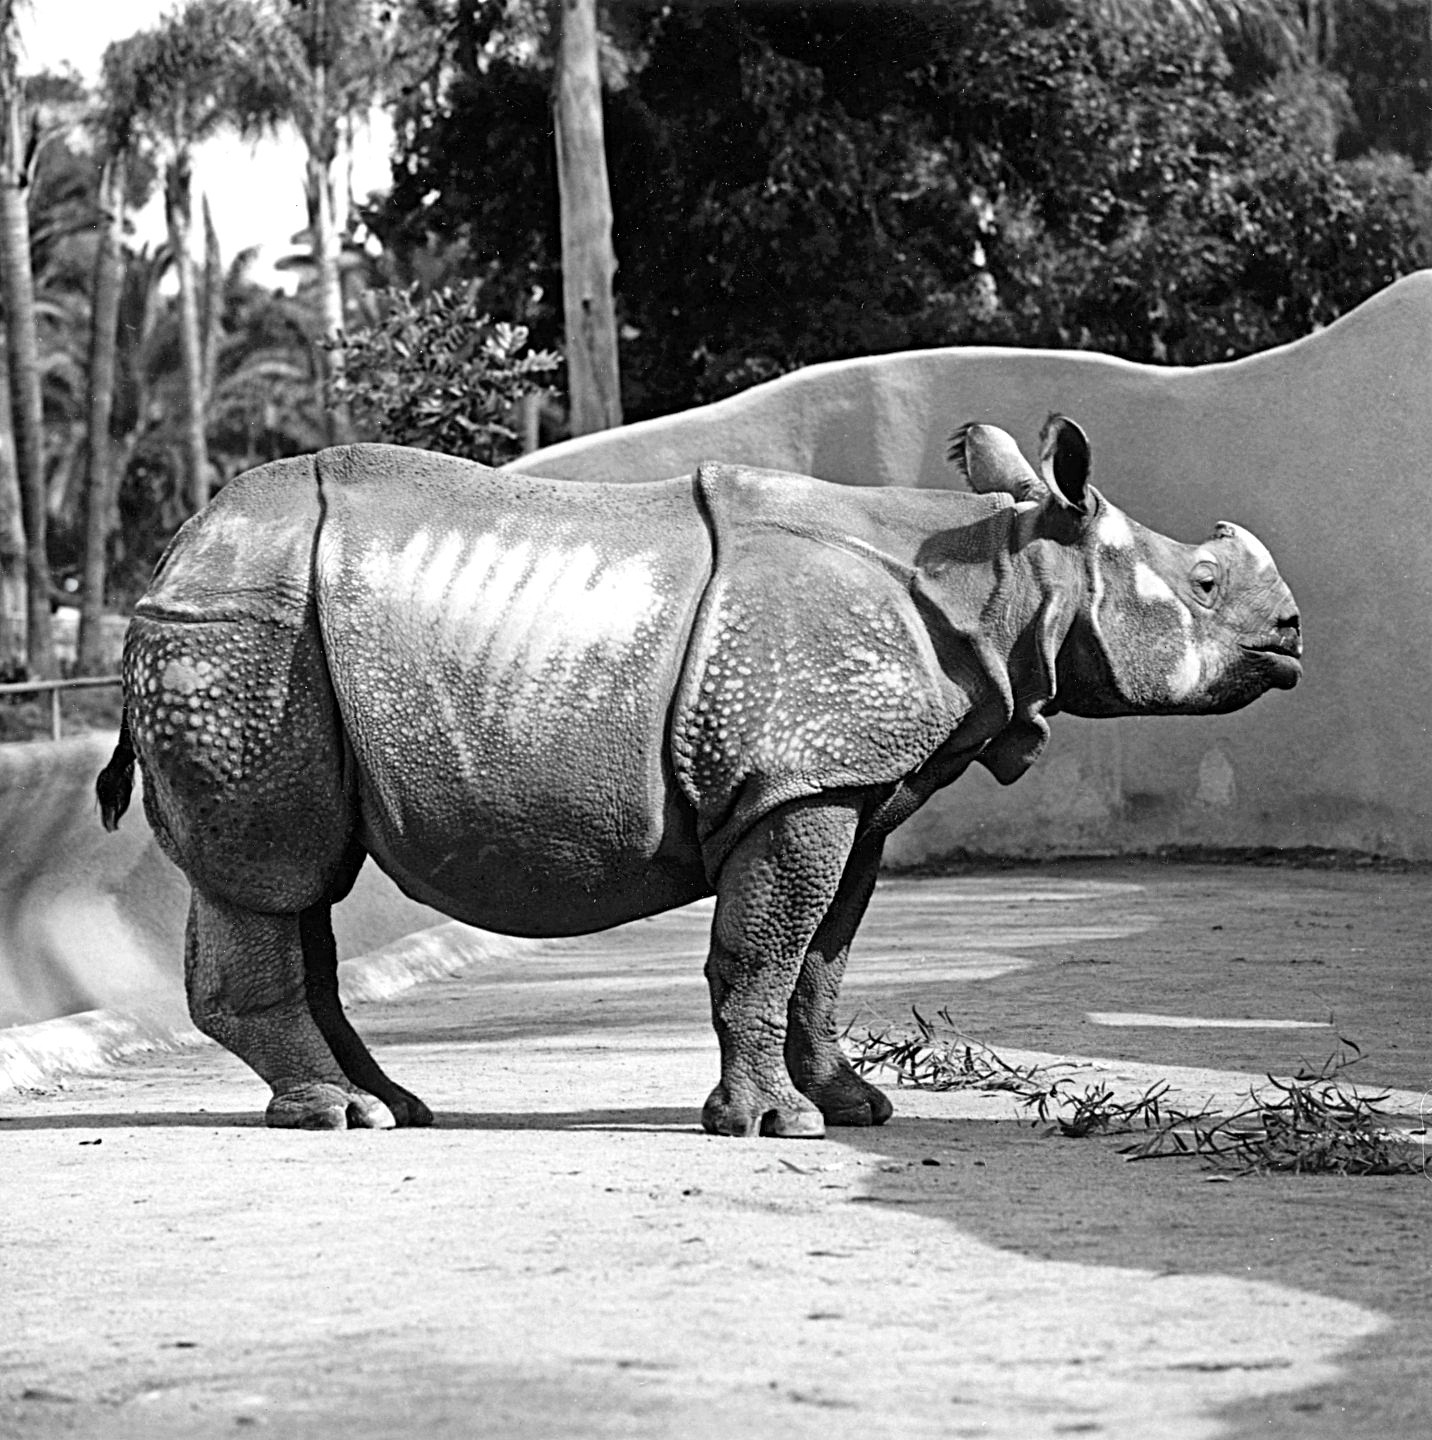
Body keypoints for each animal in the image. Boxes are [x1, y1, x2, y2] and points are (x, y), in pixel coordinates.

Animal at [97, 416, 1301, 1136]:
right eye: (1202, 583)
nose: (1292, 636)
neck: (1008, 575)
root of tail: (172, 555)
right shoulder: (799, 780)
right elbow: (763, 952)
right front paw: (772, 1127)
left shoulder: (845, 788)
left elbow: (822, 962)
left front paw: (853, 1108)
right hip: (242, 637)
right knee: (276, 872)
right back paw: (346, 1118)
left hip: (258, 630)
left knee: (304, 886)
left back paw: (394, 1104)